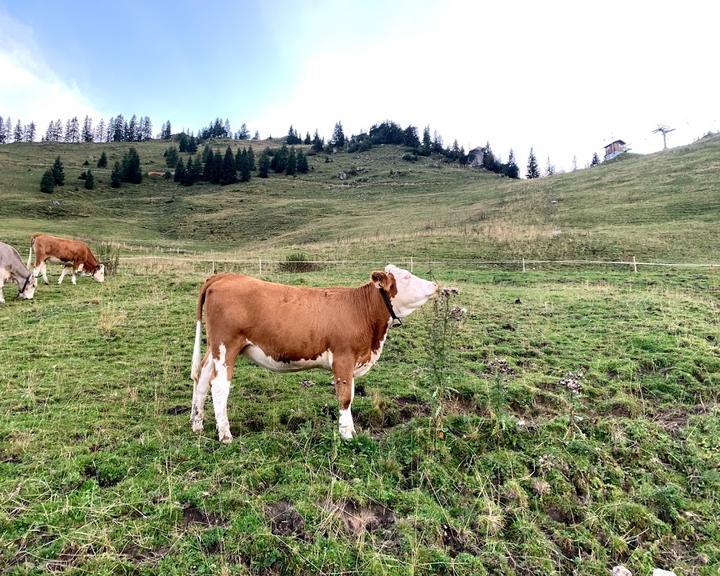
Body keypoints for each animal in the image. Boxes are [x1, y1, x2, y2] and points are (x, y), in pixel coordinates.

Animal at [191, 264, 436, 444]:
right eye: (406, 277)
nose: (434, 284)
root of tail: (224, 276)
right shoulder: (343, 358)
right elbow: (345, 397)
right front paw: (347, 435)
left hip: (215, 349)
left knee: (202, 378)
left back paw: (197, 424)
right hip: (226, 347)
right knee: (219, 386)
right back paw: (225, 435)